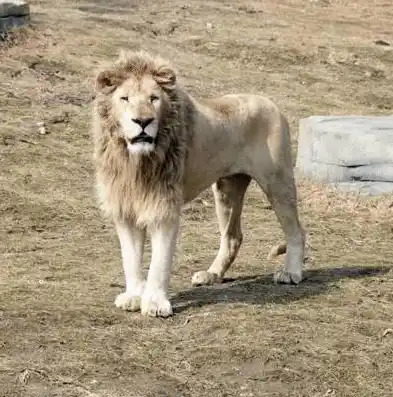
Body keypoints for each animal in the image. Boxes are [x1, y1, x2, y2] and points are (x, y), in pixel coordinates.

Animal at [92, 50, 306, 316]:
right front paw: (133, 296)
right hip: (227, 189)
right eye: (125, 98)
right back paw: (211, 275)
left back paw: (291, 273)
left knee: (296, 230)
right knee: (233, 236)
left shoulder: (164, 206)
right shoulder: (125, 206)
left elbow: (159, 262)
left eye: (153, 98)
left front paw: (155, 303)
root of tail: (272, 104)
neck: (135, 161)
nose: (143, 121)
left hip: (277, 182)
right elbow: (130, 258)